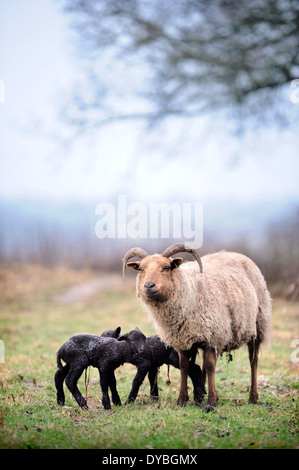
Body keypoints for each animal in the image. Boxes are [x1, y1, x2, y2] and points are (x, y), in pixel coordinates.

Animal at [123, 244, 274, 410]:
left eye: (166, 267)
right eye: (141, 269)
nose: (149, 286)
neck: (190, 291)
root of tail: (238, 255)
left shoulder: (213, 337)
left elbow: (210, 366)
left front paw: (211, 402)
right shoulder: (183, 339)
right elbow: (184, 366)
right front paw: (182, 399)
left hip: (257, 326)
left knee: (253, 361)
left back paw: (252, 397)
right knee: (201, 363)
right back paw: (201, 394)